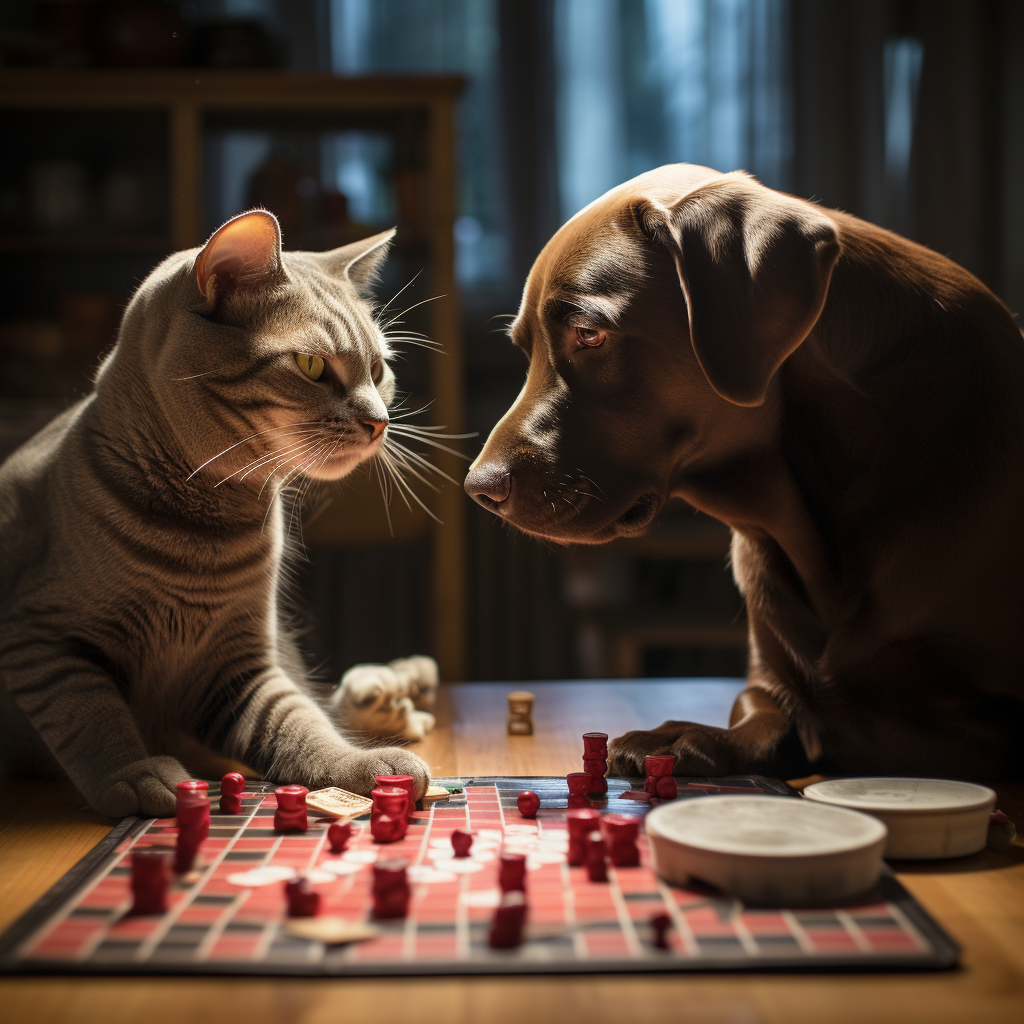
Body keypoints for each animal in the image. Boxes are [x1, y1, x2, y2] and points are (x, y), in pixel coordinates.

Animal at [0, 205, 434, 815]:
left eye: (379, 371)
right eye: (311, 365)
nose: (380, 421)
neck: (207, 529)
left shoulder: (242, 665)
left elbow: (300, 726)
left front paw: (361, 766)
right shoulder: (40, 638)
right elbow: (92, 717)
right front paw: (135, 773)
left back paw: (390, 692)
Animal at [466, 163, 1024, 778]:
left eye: (589, 333)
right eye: (525, 349)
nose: (478, 487)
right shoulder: (771, 676)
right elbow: (765, 710)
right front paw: (683, 735)